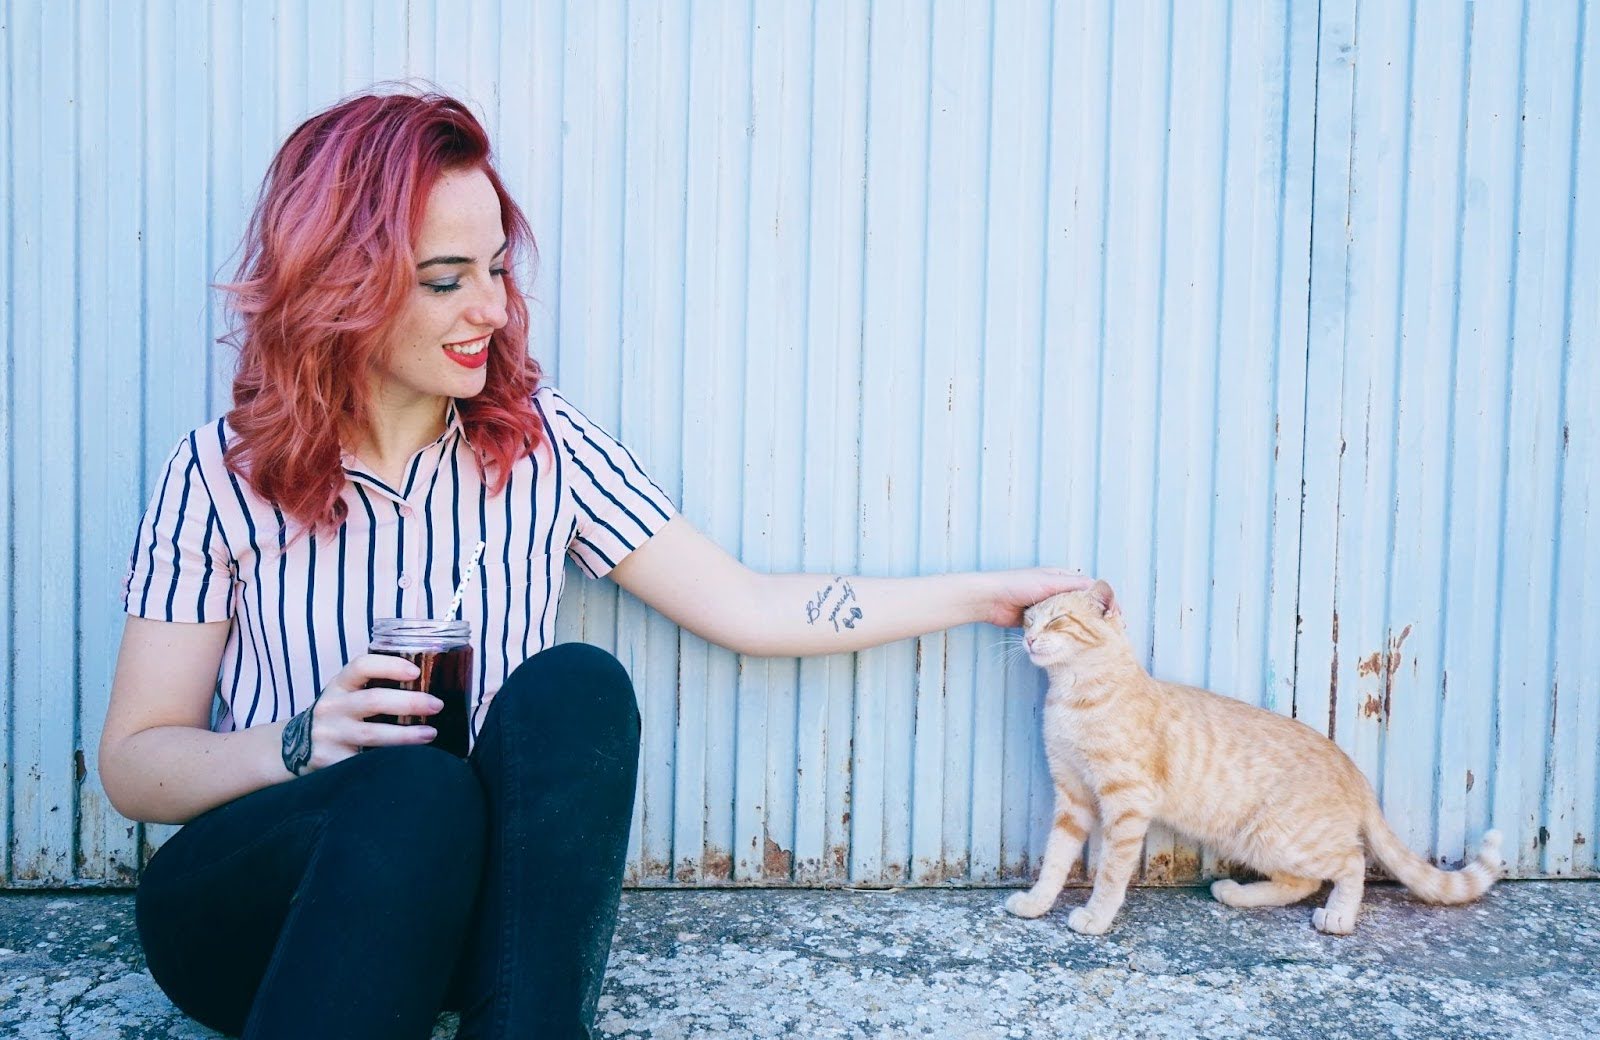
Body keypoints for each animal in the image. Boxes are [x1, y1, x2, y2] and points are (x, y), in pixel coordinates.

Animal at [1004, 582, 1504, 934]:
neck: (1073, 698)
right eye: (1028, 621)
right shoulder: (1073, 796)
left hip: (1283, 837)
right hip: (1255, 841)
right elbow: (1056, 858)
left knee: (1351, 862)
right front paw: (1037, 902)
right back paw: (1236, 893)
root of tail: (1350, 764)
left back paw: (1338, 917)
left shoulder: (1126, 803)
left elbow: (1110, 871)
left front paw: (1096, 917)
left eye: (1058, 622)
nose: (1027, 640)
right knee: (1301, 882)